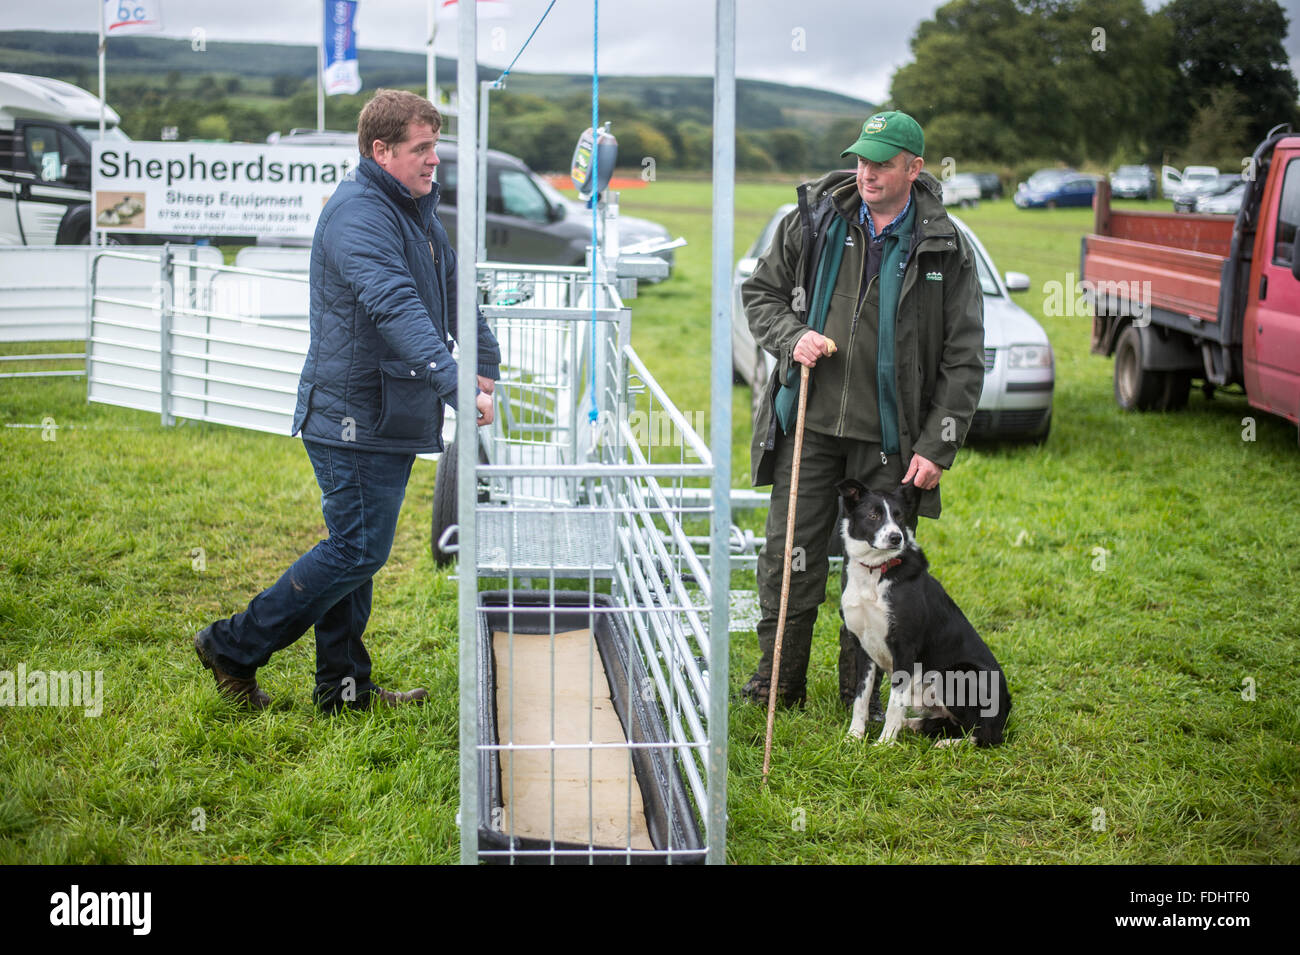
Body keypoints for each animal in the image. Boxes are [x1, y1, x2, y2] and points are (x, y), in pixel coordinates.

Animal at [837, 478, 1008, 748]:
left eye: (899, 516)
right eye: (873, 515)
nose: (896, 538)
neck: (876, 571)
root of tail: (1007, 709)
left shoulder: (904, 647)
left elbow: (895, 702)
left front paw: (884, 744)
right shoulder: (864, 647)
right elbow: (860, 698)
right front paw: (854, 736)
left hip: (958, 674)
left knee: (986, 734)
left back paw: (948, 743)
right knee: (947, 722)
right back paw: (912, 725)